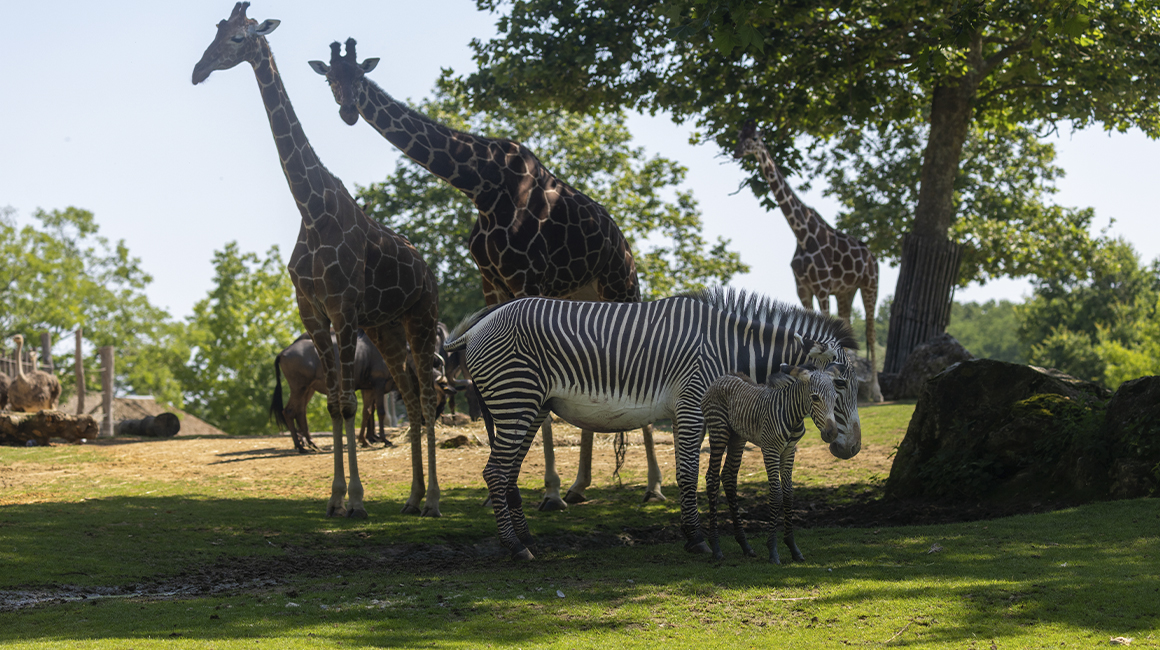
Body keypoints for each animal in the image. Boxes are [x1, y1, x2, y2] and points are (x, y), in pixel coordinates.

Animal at [701, 365, 842, 565]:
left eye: (836, 398)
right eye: (815, 397)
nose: (832, 434)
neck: (793, 415)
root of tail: (722, 377)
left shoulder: (789, 451)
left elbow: (788, 493)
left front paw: (793, 548)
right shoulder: (770, 450)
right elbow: (776, 495)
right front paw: (773, 551)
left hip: (738, 437)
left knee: (728, 476)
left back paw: (745, 545)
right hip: (718, 431)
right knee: (712, 478)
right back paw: (716, 547)